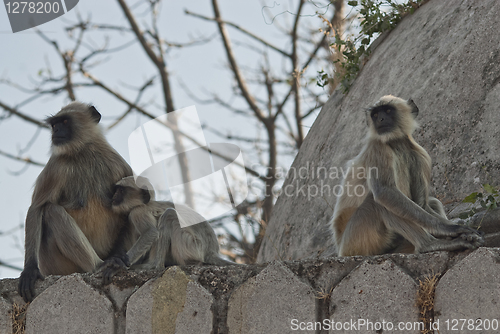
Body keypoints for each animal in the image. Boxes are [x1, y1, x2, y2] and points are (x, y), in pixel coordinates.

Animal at [18, 102, 134, 302]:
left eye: (64, 121)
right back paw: (99, 265)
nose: (56, 131)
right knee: (52, 211)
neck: (83, 151)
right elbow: (37, 208)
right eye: (54, 124)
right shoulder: (56, 166)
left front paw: (120, 256)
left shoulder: (120, 165)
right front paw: (30, 270)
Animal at [330, 95, 482, 258]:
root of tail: (340, 248)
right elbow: (384, 192)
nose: (380, 119)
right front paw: (451, 229)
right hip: (357, 241)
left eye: (388, 110)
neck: (396, 143)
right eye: (375, 114)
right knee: (379, 200)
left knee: (431, 203)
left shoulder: (420, 155)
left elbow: (422, 205)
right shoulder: (377, 147)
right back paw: (429, 245)